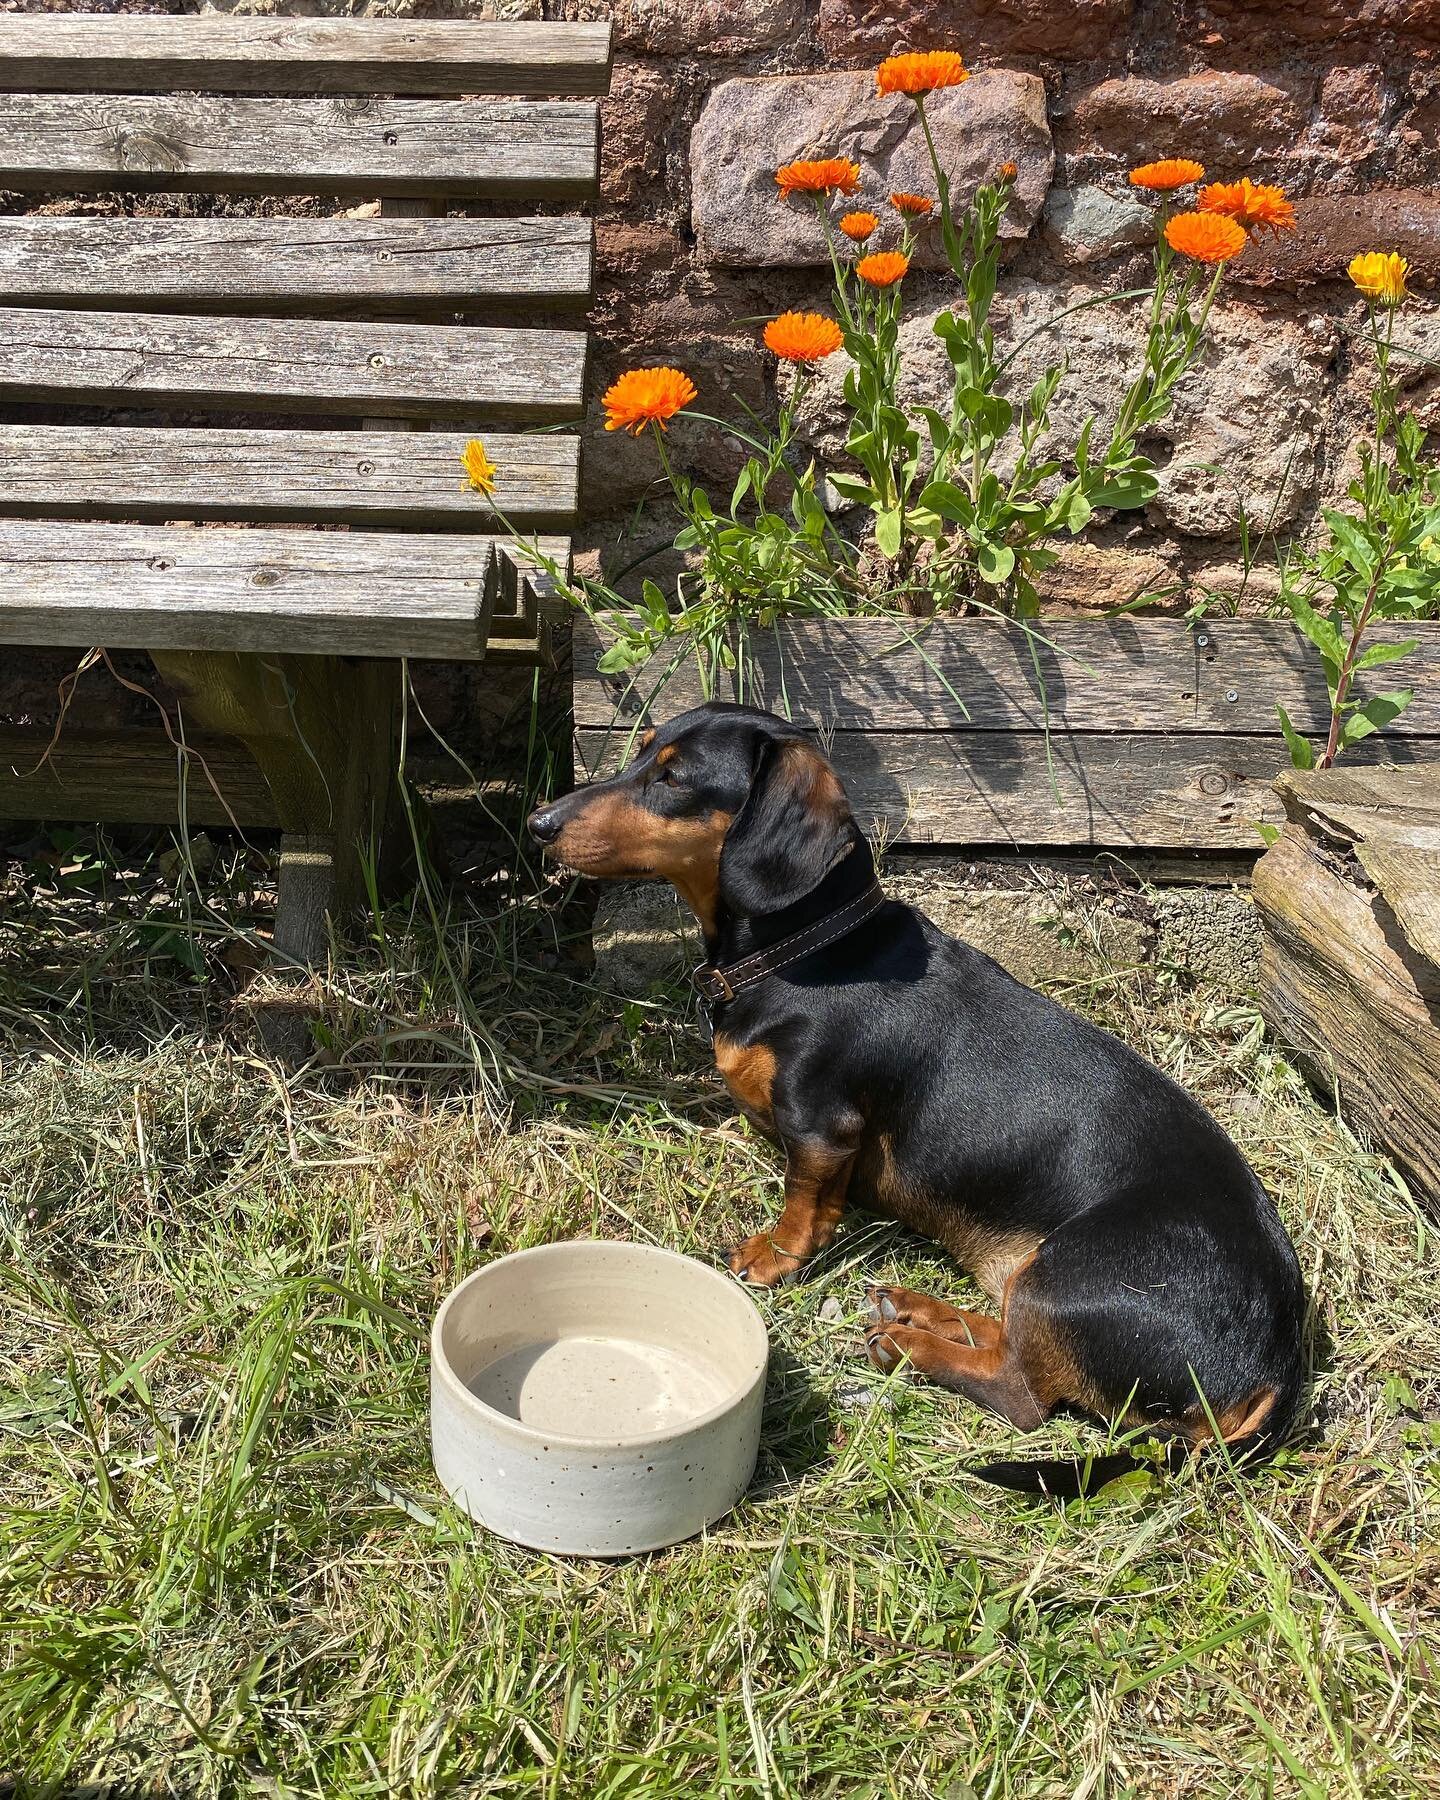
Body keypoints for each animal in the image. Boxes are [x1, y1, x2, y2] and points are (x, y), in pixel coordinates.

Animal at [529, 702, 1303, 1490]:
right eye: (642, 752)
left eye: (674, 778)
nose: (538, 823)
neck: (808, 951)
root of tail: (1276, 1363)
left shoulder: (822, 1124)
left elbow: (805, 1204)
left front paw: (773, 1255)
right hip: (1036, 1281)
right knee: (1008, 1338)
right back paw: (917, 1309)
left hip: (1065, 1277)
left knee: (1022, 1394)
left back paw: (910, 1347)